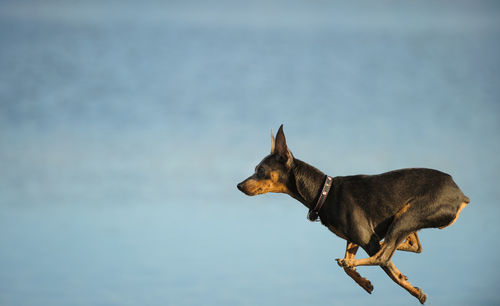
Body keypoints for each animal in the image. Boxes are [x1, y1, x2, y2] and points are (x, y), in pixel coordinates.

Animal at [237, 124, 468, 304]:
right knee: (411, 246)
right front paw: (365, 283)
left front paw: (414, 291)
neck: (324, 192)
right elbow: (354, 268)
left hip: (409, 214)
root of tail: (461, 195)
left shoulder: (365, 237)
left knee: (383, 257)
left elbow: (386, 269)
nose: (239, 185)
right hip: (406, 218)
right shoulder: (354, 238)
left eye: (260, 170)